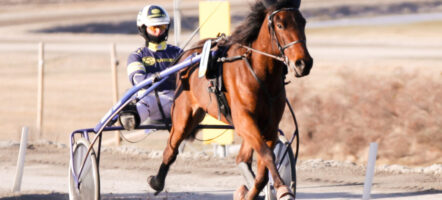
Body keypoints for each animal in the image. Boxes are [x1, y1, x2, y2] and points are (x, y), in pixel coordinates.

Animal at [148, 0, 310, 199]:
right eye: (280, 25)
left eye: (303, 22)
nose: (303, 63)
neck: (260, 74)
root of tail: (188, 54)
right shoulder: (244, 120)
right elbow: (267, 155)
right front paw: (282, 189)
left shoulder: (269, 125)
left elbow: (262, 169)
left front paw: (252, 192)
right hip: (183, 114)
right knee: (171, 148)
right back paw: (157, 181)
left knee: (242, 158)